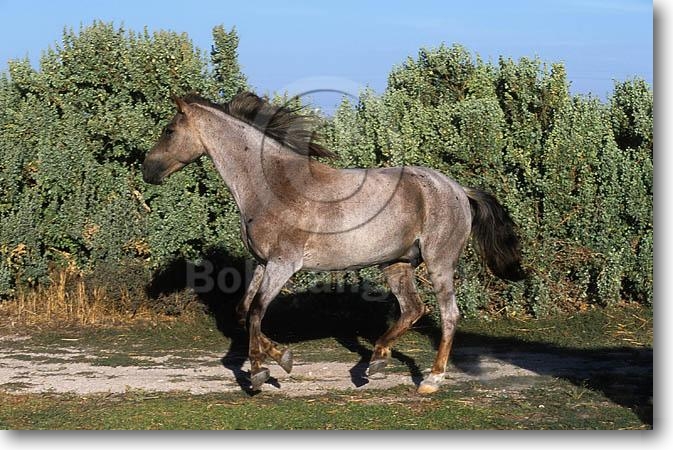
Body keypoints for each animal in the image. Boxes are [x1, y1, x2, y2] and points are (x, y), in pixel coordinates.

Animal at [142, 92, 525, 394]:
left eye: (169, 130)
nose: (148, 170)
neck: (271, 186)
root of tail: (458, 189)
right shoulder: (263, 263)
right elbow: (243, 311)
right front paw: (281, 358)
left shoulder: (283, 264)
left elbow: (256, 313)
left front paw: (259, 373)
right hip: (396, 263)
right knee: (413, 309)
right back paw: (375, 362)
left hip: (438, 261)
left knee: (448, 315)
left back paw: (431, 380)